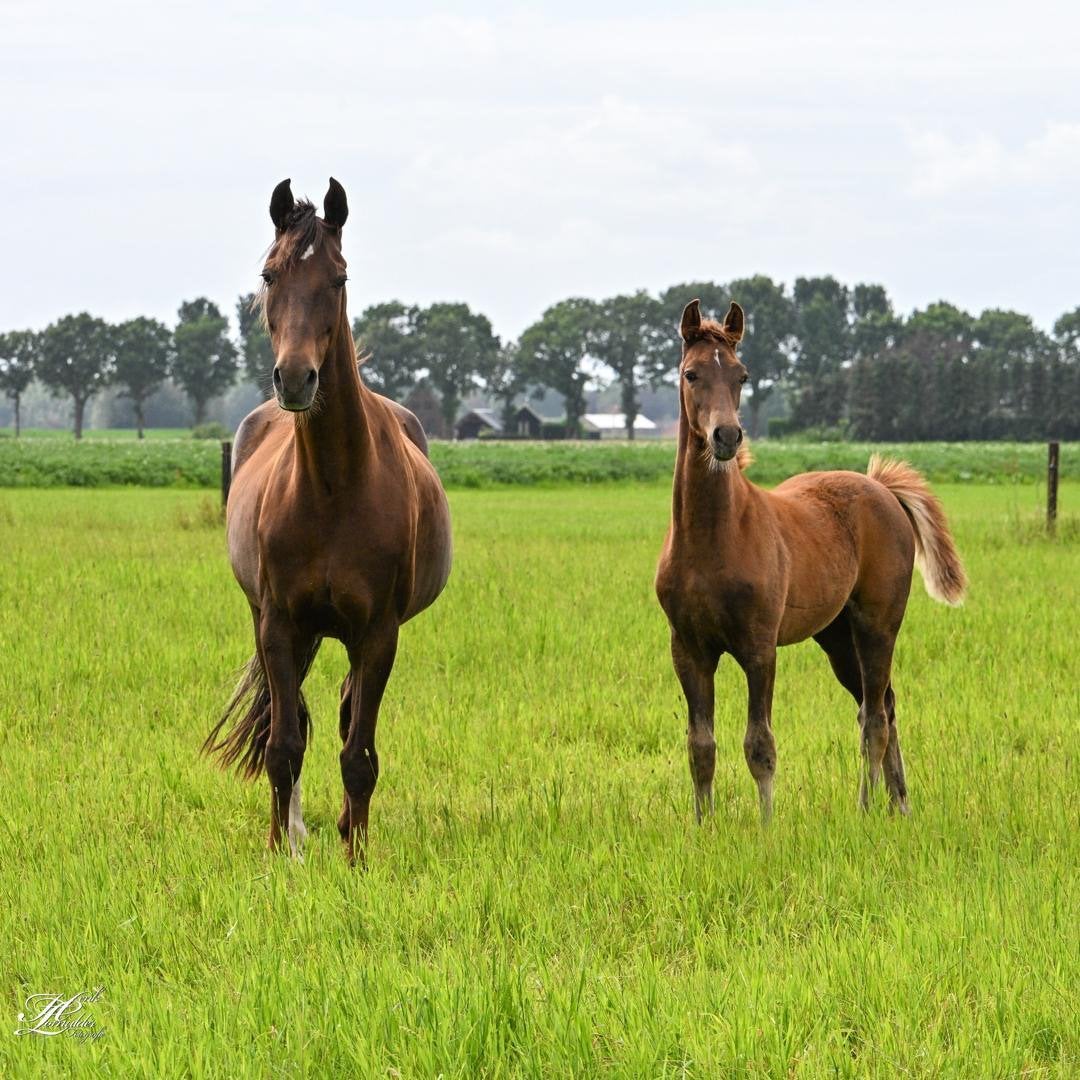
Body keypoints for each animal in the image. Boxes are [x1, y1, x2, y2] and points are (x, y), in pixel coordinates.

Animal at [203, 178, 453, 863]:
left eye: (338, 278)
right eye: (270, 274)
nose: (295, 378)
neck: (334, 487)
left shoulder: (379, 633)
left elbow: (359, 755)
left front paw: (357, 858)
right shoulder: (279, 624)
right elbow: (283, 746)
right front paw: (281, 850)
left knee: (345, 715)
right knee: (292, 719)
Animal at [655, 299, 967, 822]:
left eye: (741, 375)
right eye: (690, 373)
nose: (726, 436)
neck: (712, 539)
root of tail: (881, 488)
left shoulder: (759, 647)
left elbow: (759, 744)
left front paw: (766, 827)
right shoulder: (688, 650)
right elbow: (701, 746)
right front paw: (703, 827)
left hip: (877, 626)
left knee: (875, 716)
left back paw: (866, 808)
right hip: (836, 635)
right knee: (882, 704)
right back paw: (898, 803)